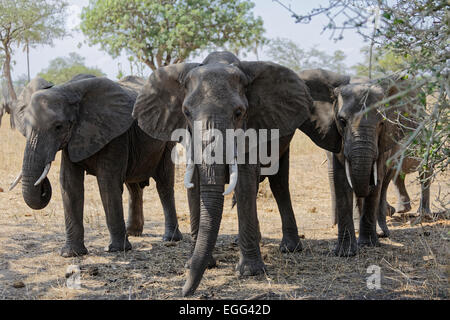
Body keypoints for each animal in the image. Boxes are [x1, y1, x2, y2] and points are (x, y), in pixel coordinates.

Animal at [13, 74, 183, 256]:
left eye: (58, 127)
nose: (42, 184)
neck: (66, 89)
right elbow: (70, 185)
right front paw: (71, 254)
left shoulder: (115, 135)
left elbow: (107, 183)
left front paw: (116, 249)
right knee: (133, 187)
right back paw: (132, 232)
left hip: (167, 138)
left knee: (164, 184)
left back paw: (170, 238)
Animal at [130, 51, 342, 296]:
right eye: (186, 112)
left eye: (239, 113)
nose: (184, 292)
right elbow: (195, 185)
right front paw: (197, 264)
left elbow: (245, 182)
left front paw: (250, 272)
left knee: (279, 185)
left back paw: (289, 248)